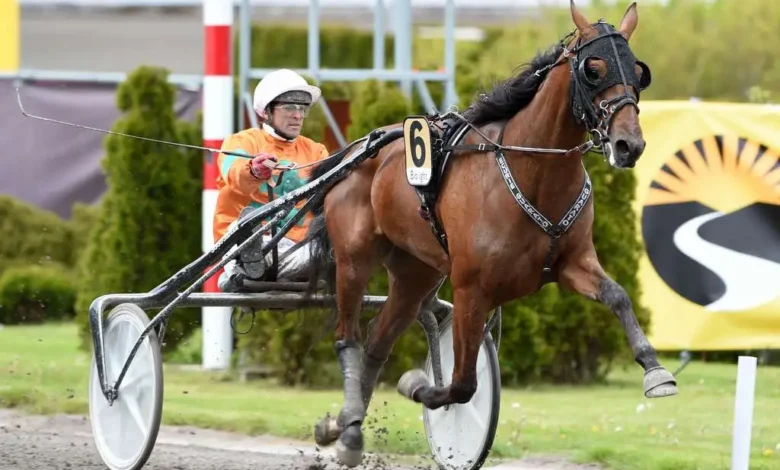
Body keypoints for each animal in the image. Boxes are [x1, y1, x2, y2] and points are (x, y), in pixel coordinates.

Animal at [302, 1, 672, 466]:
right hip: (354, 260)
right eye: (594, 68)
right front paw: (417, 385)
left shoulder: (573, 263)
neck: (530, 170)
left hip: (414, 273)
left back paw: (341, 426)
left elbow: (618, 296)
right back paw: (348, 429)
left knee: (376, 346)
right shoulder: (470, 288)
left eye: (639, 71)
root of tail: (357, 149)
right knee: (347, 338)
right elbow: (462, 385)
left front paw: (655, 368)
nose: (629, 145)